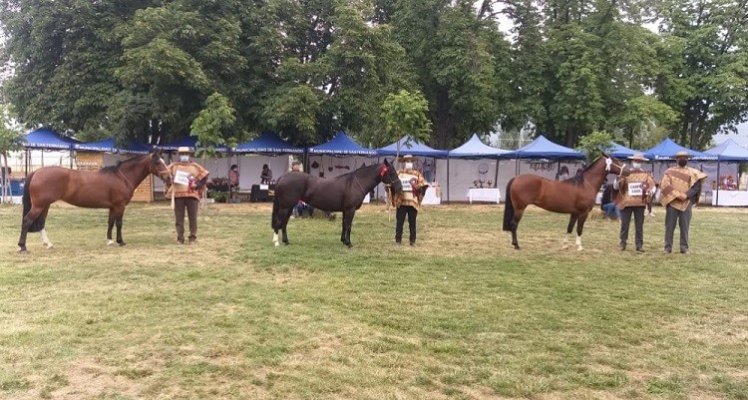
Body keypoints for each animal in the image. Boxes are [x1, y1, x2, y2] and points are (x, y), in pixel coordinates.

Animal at [17, 152, 172, 252]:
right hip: (39, 206)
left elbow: (110, 222)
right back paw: (23, 246)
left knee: (41, 223)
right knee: (27, 220)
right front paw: (120, 241)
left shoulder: (112, 207)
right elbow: (119, 223)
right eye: (157, 162)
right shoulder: (120, 206)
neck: (122, 177)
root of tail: (37, 172)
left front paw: (109, 240)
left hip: (45, 205)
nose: (169, 178)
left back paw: (48, 244)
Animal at [272, 159, 404, 247]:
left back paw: (286, 241)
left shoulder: (346, 210)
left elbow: (344, 225)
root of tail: (282, 177)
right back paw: (276, 242)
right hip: (285, 207)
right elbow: (349, 226)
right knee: (279, 222)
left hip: (288, 207)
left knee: (284, 223)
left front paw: (343, 241)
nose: (400, 187)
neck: (355, 183)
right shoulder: (350, 210)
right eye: (391, 172)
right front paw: (349, 243)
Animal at [502, 153, 632, 250]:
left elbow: (569, 227)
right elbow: (579, 228)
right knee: (513, 224)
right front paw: (579, 246)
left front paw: (565, 245)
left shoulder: (574, 213)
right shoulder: (583, 213)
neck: (585, 184)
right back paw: (516, 245)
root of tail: (516, 178)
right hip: (520, 208)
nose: (629, 171)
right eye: (616, 160)